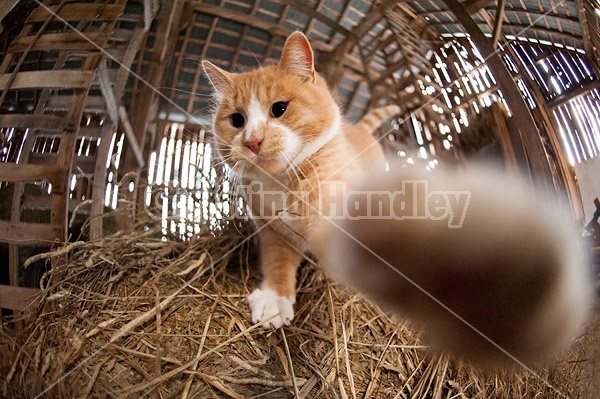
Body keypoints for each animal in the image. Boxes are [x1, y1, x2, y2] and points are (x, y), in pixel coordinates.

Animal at [202, 31, 592, 368]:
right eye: (237, 120)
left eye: (279, 109)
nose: (252, 141)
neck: (283, 182)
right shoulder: (274, 233)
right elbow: (278, 264)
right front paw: (275, 298)